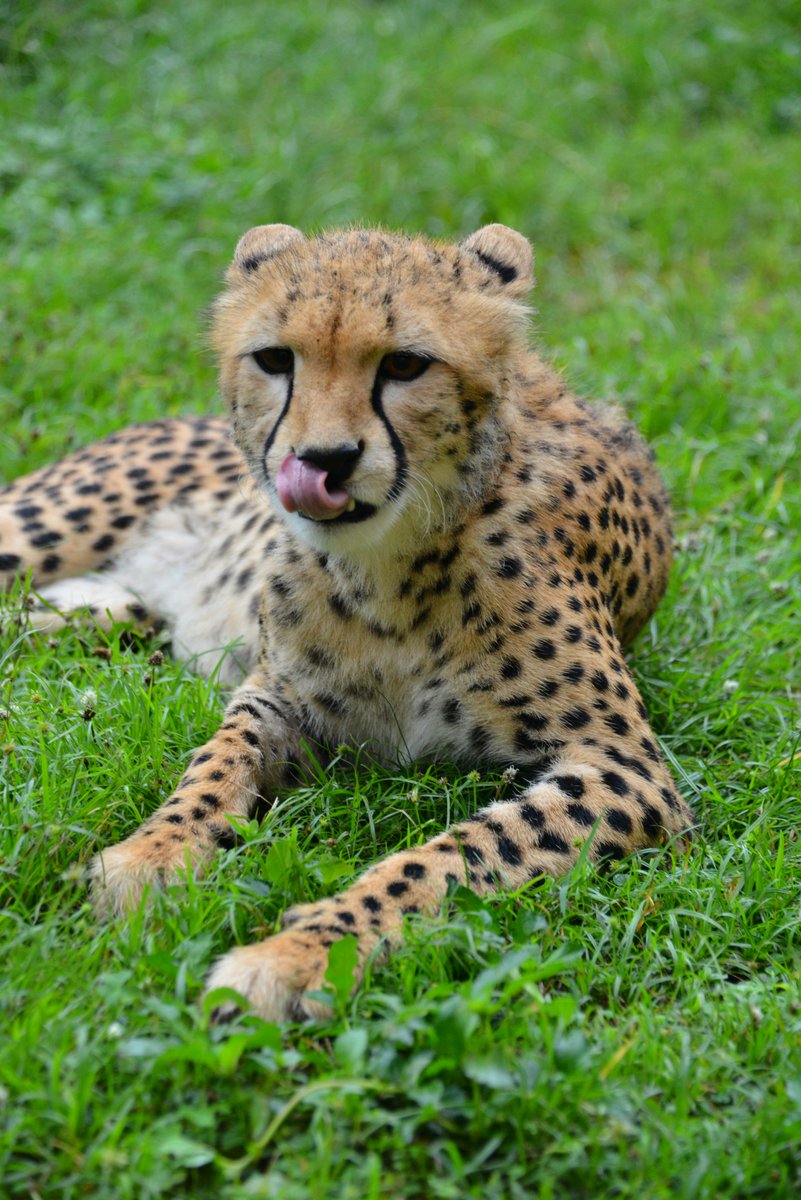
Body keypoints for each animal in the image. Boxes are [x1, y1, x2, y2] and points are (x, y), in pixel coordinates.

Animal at [0, 221, 693, 1022]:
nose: (323, 460)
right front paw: (152, 857)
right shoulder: (276, 694)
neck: (390, 567)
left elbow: (455, 855)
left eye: (405, 364)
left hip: (103, 611)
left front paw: (300, 954)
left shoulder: (626, 770)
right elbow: (213, 766)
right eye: (276, 359)